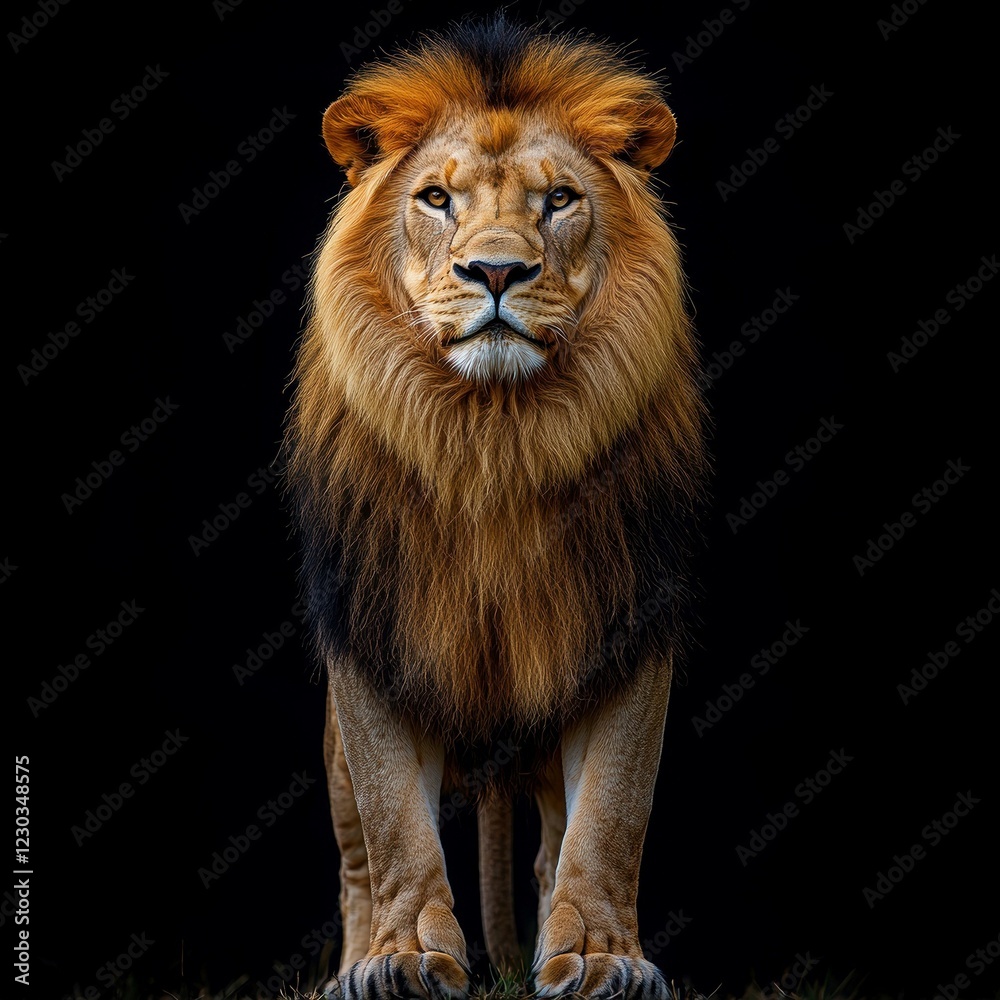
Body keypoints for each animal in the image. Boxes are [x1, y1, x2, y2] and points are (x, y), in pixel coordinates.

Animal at [285, 18, 707, 1000]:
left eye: (559, 200)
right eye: (437, 198)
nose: (497, 271)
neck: (495, 437)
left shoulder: (627, 620)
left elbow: (613, 815)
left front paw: (602, 956)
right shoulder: (375, 620)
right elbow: (394, 822)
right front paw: (402, 958)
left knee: (555, 837)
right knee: (355, 855)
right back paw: (354, 961)